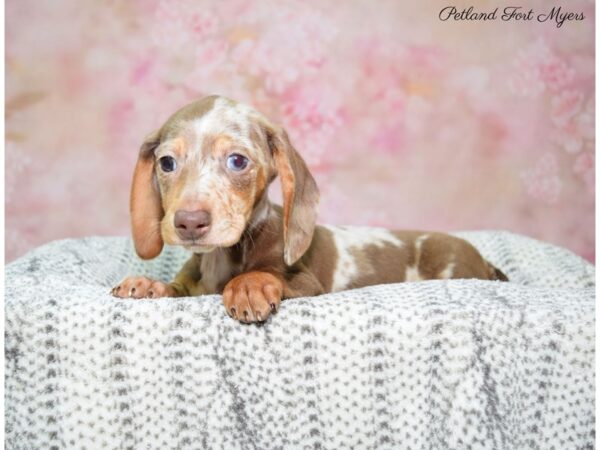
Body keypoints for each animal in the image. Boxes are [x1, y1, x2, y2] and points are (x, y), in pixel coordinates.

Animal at [111, 95, 506, 322]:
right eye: (166, 163)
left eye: (238, 161)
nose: (189, 223)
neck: (223, 258)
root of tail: (483, 260)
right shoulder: (192, 288)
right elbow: (174, 289)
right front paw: (149, 284)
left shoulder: (306, 283)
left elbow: (269, 275)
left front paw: (248, 285)